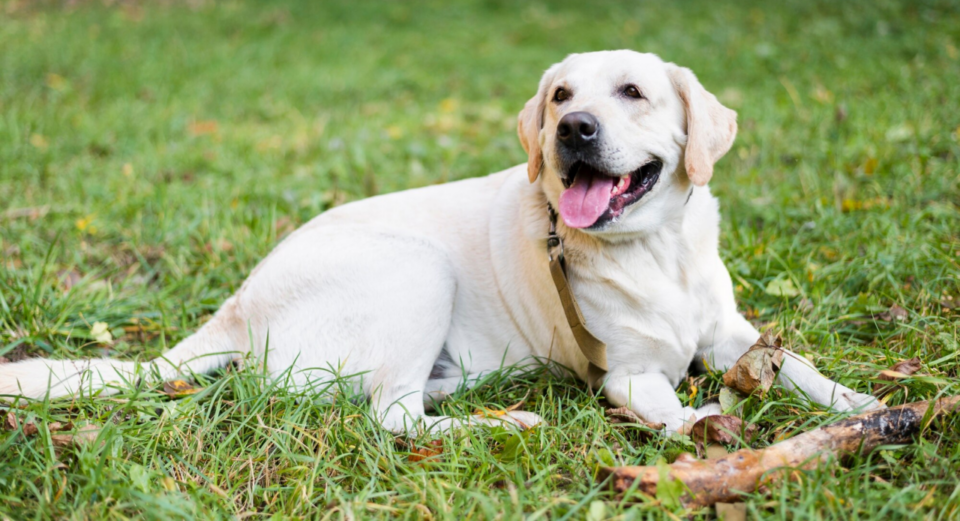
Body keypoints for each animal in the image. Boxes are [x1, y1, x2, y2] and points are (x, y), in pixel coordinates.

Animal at [0, 51, 884, 434]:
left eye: (632, 92)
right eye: (560, 94)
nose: (572, 128)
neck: (653, 248)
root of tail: (235, 308)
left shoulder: (732, 332)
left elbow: (803, 368)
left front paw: (865, 405)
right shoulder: (628, 373)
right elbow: (670, 408)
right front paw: (703, 426)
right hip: (415, 268)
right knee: (391, 418)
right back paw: (501, 423)